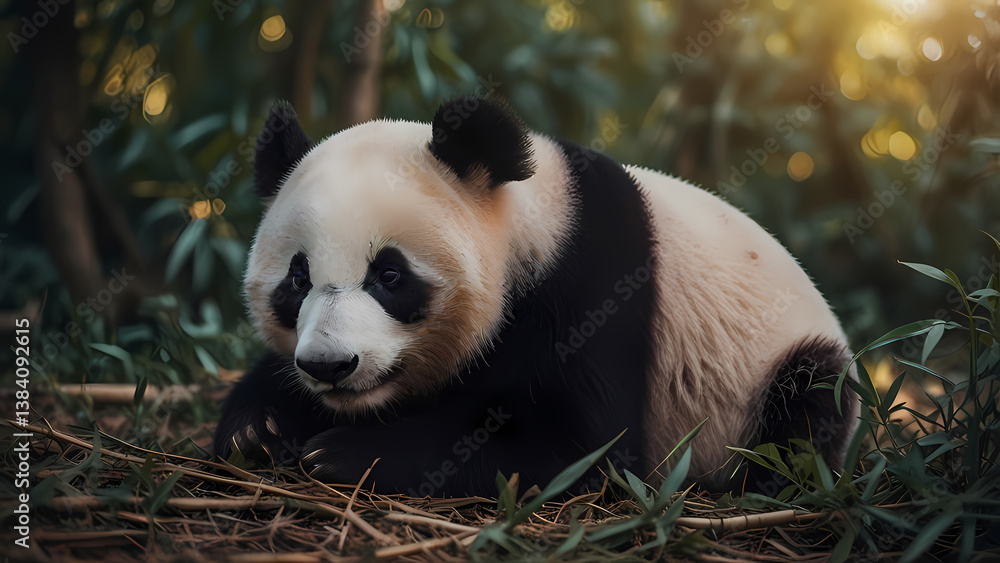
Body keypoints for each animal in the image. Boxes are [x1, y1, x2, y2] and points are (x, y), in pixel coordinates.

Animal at [214, 96, 859, 497]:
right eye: (298, 279)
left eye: (390, 276)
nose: (329, 365)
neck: (531, 226)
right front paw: (259, 427)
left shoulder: (593, 286)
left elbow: (584, 450)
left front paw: (347, 454)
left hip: (775, 370)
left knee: (806, 407)